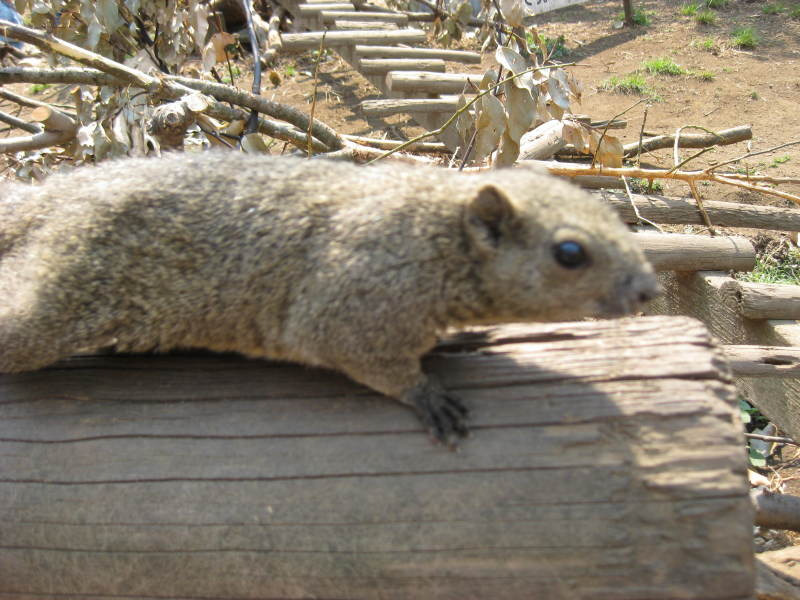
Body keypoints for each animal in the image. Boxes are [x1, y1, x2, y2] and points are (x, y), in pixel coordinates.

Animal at [1, 154, 656, 446]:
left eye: (613, 216)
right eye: (569, 253)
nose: (648, 289)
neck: (433, 236)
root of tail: (52, 196)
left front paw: (460, 338)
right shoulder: (348, 300)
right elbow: (367, 360)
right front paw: (427, 394)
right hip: (55, 298)